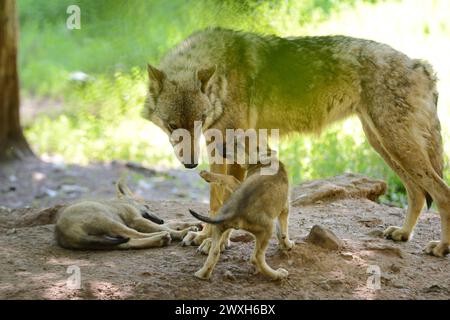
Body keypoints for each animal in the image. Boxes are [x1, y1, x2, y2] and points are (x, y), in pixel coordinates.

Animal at [144, 27, 450, 258]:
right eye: (172, 126)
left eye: (200, 119)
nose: (190, 164)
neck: (223, 79)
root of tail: (422, 65)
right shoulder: (215, 146)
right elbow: (214, 199)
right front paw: (205, 236)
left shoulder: (231, 146)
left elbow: (222, 200)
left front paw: (214, 241)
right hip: (384, 145)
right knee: (418, 193)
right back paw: (403, 234)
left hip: (396, 144)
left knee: (441, 192)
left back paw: (441, 247)